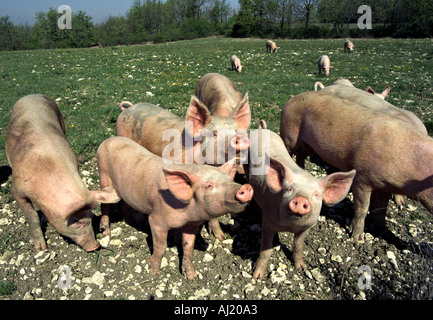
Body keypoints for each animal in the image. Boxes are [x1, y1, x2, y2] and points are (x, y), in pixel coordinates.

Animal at [5, 95, 120, 252]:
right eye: (76, 222)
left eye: (90, 218)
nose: (95, 246)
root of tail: (32, 95)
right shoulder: (16, 188)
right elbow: (32, 216)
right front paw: (41, 249)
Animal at [97, 136, 253, 278]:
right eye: (208, 185)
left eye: (229, 180)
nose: (245, 187)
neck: (187, 213)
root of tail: (108, 140)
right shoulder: (157, 219)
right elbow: (161, 247)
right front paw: (155, 273)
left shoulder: (192, 225)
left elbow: (188, 247)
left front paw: (192, 277)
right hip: (103, 174)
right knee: (104, 204)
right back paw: (106, 233)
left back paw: (133, 222)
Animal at [245, 123, 356, 280]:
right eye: (289, 189)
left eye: (316, 194)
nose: (301, 199)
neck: (290, 227)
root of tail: (262, 129)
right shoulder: (267, 223)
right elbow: (266, 249)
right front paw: (257, 277)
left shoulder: (307, 227)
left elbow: (298, 246)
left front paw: (301, 268)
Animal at [278, 90, 432, 240]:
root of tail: (293, 98)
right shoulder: (362, 177)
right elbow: (362, 208)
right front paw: (358, 239)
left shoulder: (384, 186)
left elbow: (382, 209)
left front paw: (383, 233)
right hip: (290, 133)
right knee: (288, 149)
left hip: (310, 144)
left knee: (301, 154)